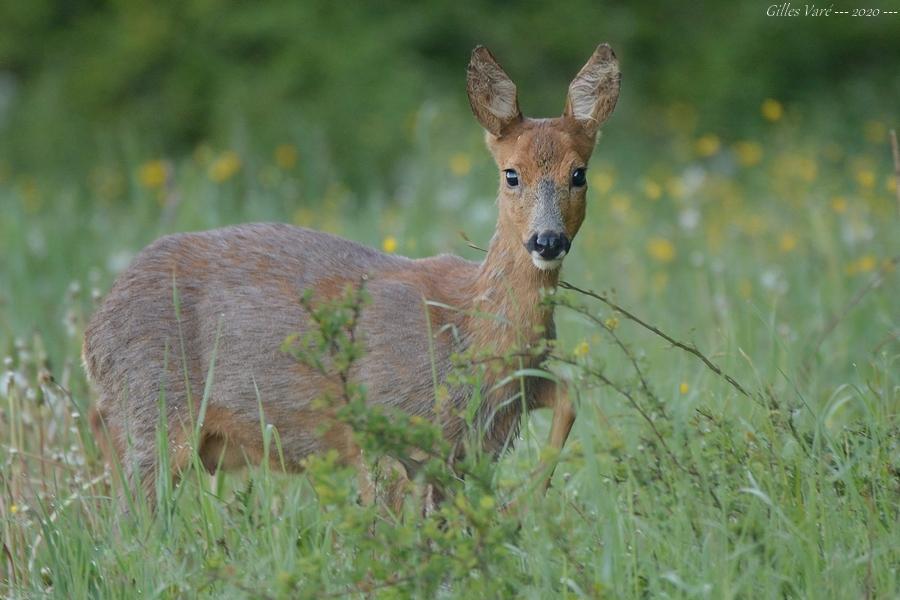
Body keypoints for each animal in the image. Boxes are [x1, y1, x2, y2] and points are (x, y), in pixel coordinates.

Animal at [84, 44, 620, 508]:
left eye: (579, 174)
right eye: (511, 174)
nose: (547, 241)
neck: (469, 329)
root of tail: (93, 332)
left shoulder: (496, 415)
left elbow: (569, 397)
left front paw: (520, 507)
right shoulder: (380, 420)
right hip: (154, 404)